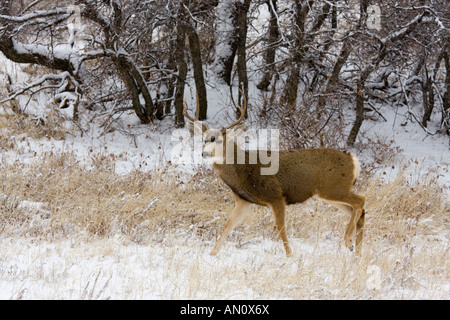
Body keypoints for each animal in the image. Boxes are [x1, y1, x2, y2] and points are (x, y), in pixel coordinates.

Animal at [183, 93, 366, 258]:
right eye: (204, 139)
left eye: (218, 140)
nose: (204, 153)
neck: (242, 170)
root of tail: (353, 159)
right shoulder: (244, 201)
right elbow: (229, 225)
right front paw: (212, 253)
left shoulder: (276, 195)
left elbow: (280, 227)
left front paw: (290, 255)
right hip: (329, 192)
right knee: (359, 211)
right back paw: (356, 251)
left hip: (333, 188)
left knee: (361, 201)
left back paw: (348, 242)